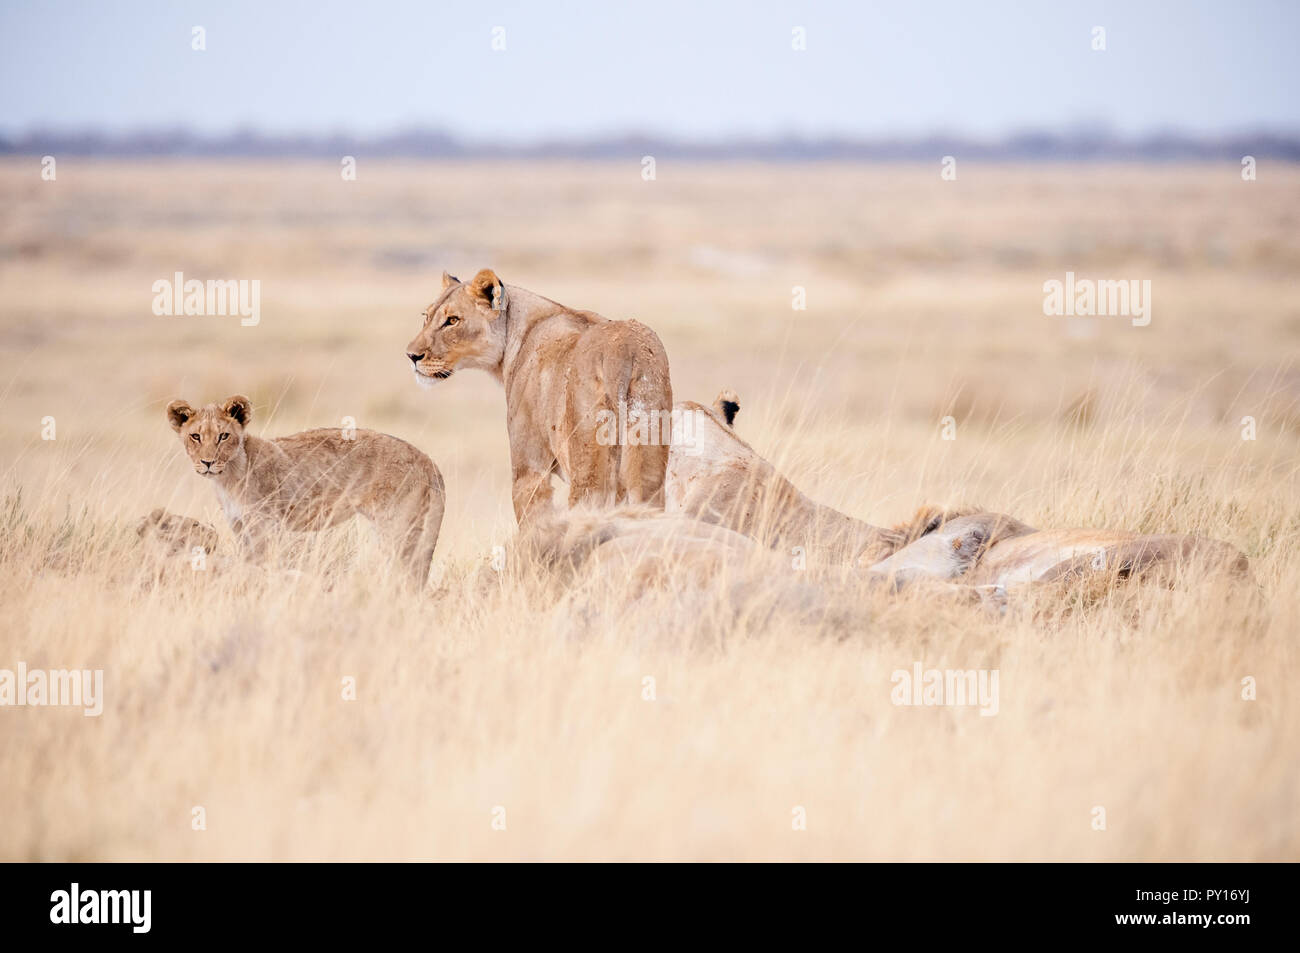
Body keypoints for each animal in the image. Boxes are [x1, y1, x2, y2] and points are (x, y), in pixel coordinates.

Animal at [162, 392, 444, 582]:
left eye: (223, 436)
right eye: (196, 436)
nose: (207, 462)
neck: (228, 477)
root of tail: (427, 460)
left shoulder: (265, 526)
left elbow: (263, 565)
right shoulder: (240, 526)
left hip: (398, 527)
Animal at [403, 267, 670, 520]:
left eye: (452, 320)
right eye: (426, 317)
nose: (412, 356)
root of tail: (623, 349)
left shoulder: (529, 468)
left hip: (588, 470)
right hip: (648, 468)